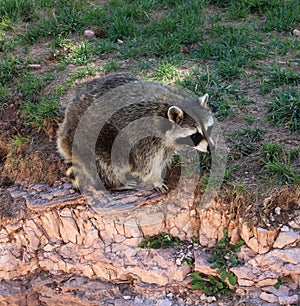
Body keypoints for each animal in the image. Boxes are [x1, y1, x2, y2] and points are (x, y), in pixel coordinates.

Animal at [57, 73, 214, 192]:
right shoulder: (144, 138)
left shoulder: (165, 143)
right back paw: (116, 184)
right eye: (195, 135)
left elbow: (163, 157)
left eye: (209, 129)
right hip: (91, 135)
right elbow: (144, 165)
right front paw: (155, 179)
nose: (211, 147)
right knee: (105, 160)